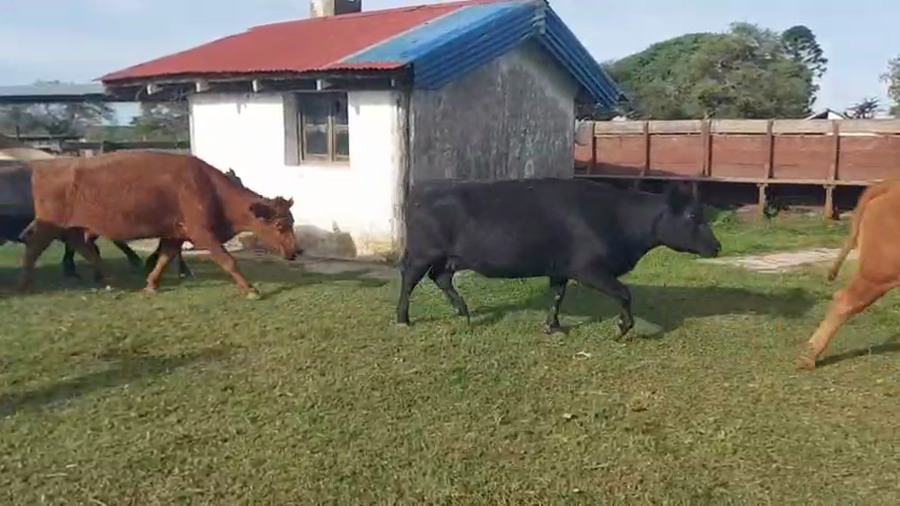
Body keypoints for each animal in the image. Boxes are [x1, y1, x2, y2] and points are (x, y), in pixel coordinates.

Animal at [17, 150, 299, 298]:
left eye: (292, 221)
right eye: (279, 226)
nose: (295, 251)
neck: (208, 186)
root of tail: (45, 165)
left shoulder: (176, 235)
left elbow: (164, 257)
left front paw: (150, 284)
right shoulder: (202, 233)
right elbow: (228, 260)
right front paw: (251, 289)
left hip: (74, 227)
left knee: (81, 246)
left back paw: (106, 277)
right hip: (50, 225)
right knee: (34, 247)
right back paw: (26, 284)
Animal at [396, 177, 722, 337]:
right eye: (693, 216)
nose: (717, 246)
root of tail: (419, 189)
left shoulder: (560, 267)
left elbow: (557, 296)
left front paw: (553, 327)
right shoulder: (588, 268)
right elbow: (624, 293)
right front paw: (621, 329)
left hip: (448, 257)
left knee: (440, 277)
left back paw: (463, 311)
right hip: (423, 253)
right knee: (409, 279)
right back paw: (403, 319)